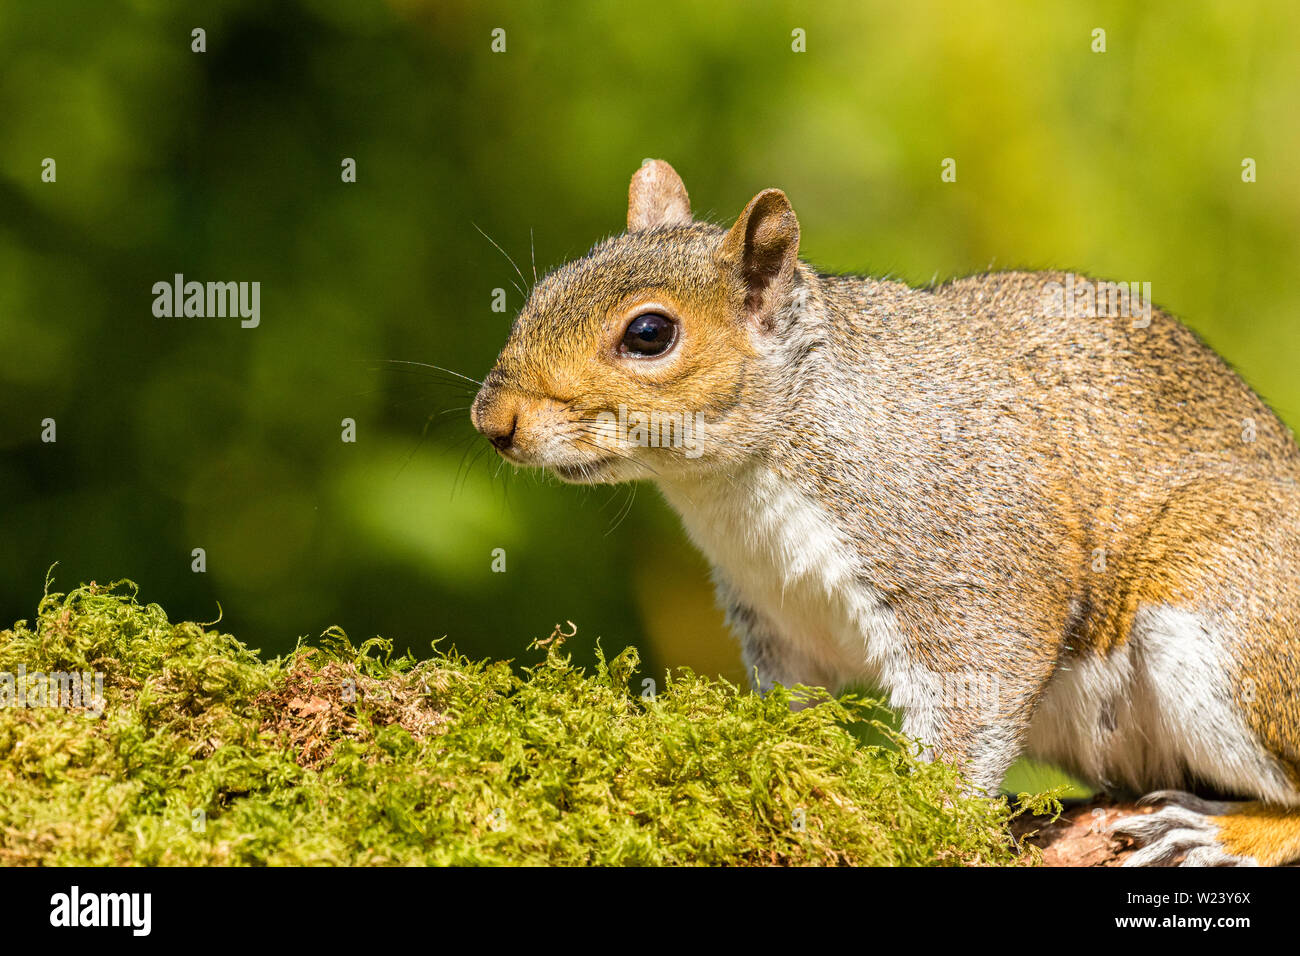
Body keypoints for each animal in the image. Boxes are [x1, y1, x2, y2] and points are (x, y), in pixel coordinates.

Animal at [473, 158, 1300, 868]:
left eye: (650, 333)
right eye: (544, 290)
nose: (493, 420)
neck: (736, 487)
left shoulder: (968, 565)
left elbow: (974, 702)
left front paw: (921, 819)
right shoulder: (779, 621)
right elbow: (792, 711)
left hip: (1229, 628)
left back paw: (1226, 833)